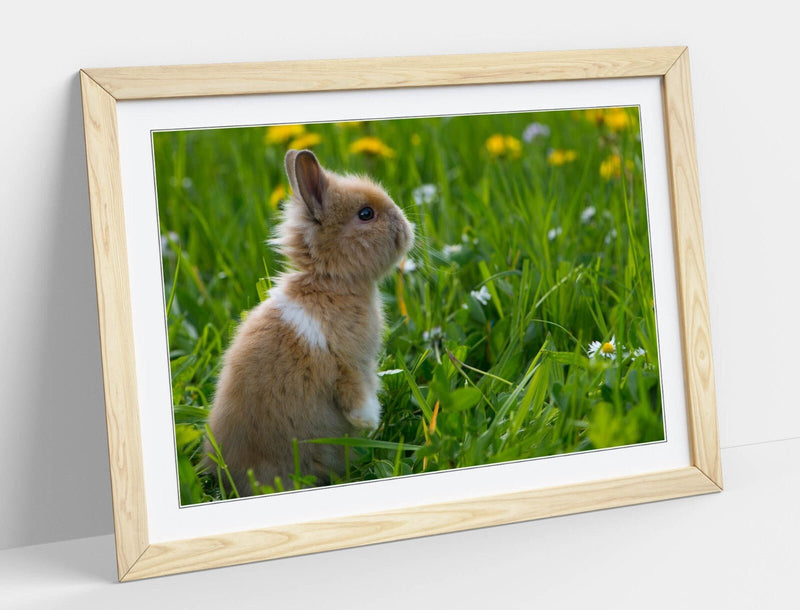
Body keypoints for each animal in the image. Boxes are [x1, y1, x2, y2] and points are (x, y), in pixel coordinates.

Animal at [204, 149, 414, 496]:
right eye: (366, 214)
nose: (407, 228)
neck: (328, 283)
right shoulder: (351, 364)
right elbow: (357, 396)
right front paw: (369, 422)